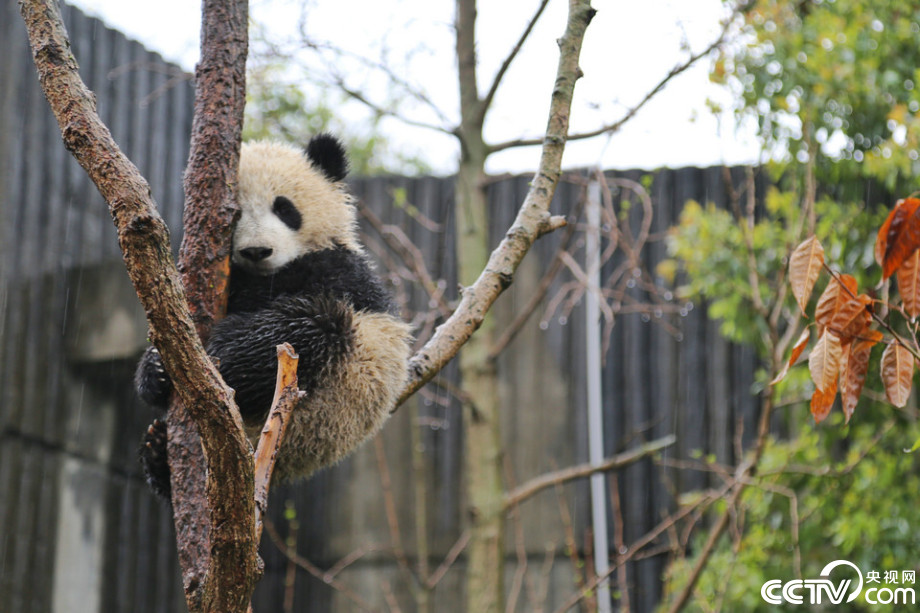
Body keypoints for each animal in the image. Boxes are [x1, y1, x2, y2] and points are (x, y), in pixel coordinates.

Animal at [135, 134, 413, 499]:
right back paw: (156, 447)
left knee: (314, 327)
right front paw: (152, 369)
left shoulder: (339, 271)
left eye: (284, 209)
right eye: (235, 213)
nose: (257, 251)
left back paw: (225, 358)